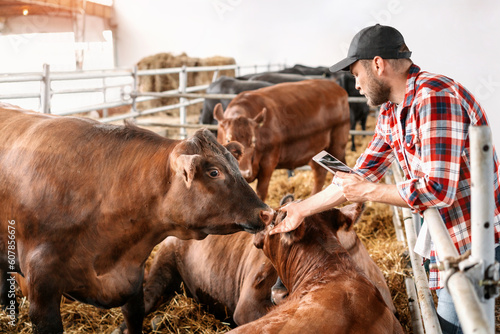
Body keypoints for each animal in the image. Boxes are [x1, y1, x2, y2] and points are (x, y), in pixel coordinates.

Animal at [0, 103, 274, 334]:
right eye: (214, 172)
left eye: (235, 166)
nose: (266, 212)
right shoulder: (41, 289)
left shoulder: (132, 279)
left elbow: (135, 317)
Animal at [215, 78, 352, 201]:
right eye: (228, 140)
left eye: (253, 141)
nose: (244, 173)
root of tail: (336, 87)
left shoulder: (268, 163)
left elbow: (261, 192)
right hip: (315, 149)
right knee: (319, 174)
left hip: (338, 144)